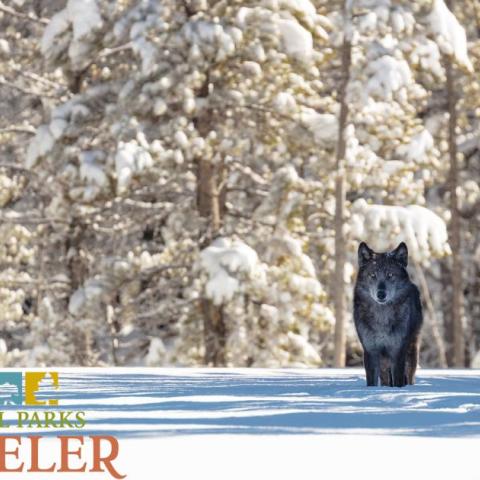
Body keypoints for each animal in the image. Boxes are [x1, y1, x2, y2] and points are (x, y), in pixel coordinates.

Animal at [352, 242, 424, 388]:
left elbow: (398, 380)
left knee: (409, 376)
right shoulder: (371, 351)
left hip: (411, 351)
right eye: (373, 275)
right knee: (386, 378)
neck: (382, 316)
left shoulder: (397, 351)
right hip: (384, 362)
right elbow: (372, 382)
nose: (381, 294)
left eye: (390, 275)